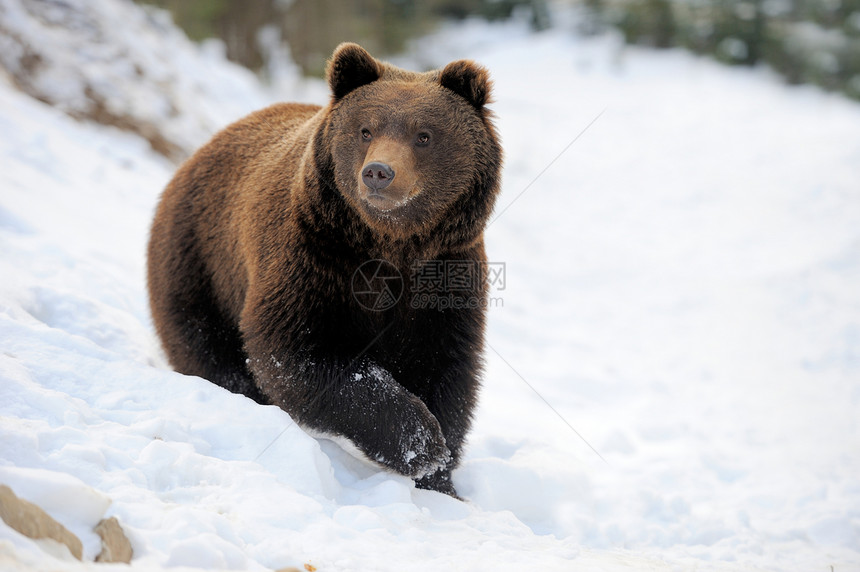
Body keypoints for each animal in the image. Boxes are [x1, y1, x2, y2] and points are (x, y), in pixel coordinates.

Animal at [144, 42, 500, 496]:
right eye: (366, 130)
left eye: (424, 135)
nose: (379, 172)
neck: (390, 244)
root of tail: (194, 156)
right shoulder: (313, 256)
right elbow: (299, 350)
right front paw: (420, 443)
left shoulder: (446, 273)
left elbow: (447, 369)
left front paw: (440, 476)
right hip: (201, 261)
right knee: (207, 348)